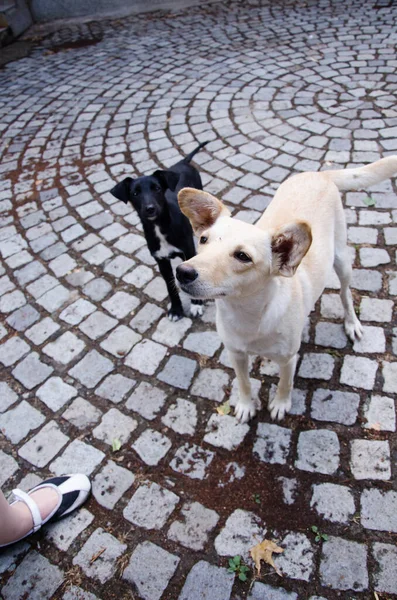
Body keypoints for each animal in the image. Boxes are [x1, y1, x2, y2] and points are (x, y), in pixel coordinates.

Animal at [108, 142, 207, 318]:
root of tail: (183, 162)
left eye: (157, 188)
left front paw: (196, 304)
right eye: (135, 193)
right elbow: (170, 286)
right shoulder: (161, 261)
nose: (150, 209)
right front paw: (176, 310)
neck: (160, 227)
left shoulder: (188, 251)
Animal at [176, 157, 396, 424]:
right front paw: (246, 405)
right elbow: (244, 383)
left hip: (342, 261)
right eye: (204, 240)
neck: (248, 315)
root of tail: (319, 174)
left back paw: (352, 323)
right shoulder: (236, 353)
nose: (182, 272)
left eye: (243, 256)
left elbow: (285, 383)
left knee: (345, 294)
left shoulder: (289, 359)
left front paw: (280, 404)